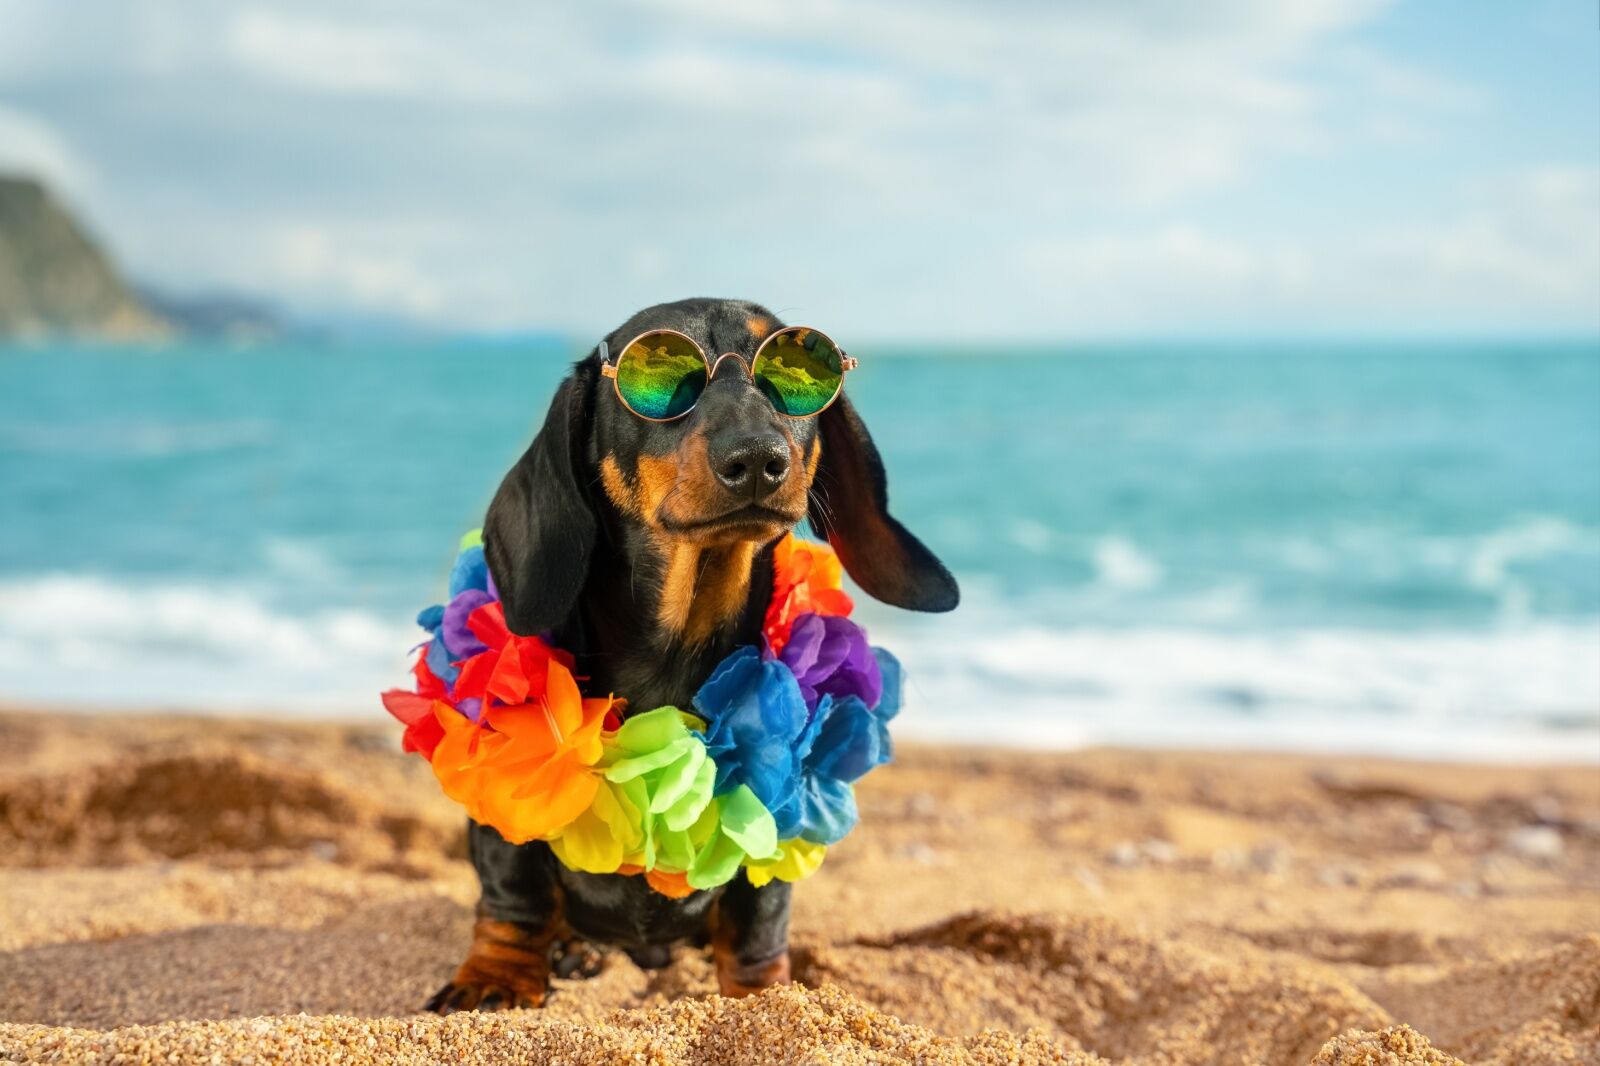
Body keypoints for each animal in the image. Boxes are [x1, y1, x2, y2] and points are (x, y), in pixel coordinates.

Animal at [425, 294, 953, 1011]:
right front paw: (495, 977)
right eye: (660, 376)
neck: (675, 649)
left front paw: (764, 998)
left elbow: (758, 918)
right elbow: (516, 893)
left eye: (795, 372)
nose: (757, 458)